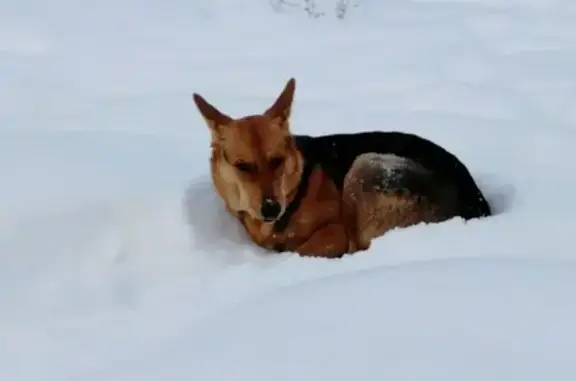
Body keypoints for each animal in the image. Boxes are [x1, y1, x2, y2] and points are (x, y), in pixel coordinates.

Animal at [192, 76, 490, 258]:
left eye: (277, 160)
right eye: (243, 166)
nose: (271, 208)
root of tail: (478, 207)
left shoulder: (335, 233)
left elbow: (303, 248)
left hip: (367, 165)